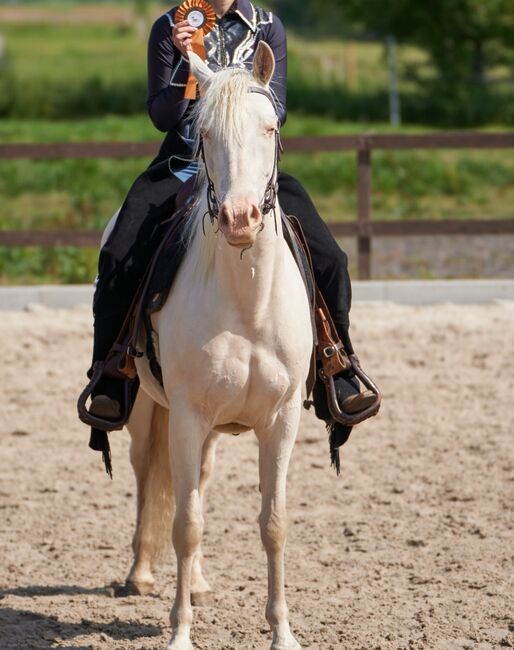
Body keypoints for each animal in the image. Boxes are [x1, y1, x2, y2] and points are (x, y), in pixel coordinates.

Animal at [123, 43, 310, 644]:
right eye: (203, 134)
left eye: (270, 127)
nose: (240, 218)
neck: (246, 303)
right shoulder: (185, 414)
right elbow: (185, 523)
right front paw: (180, 633)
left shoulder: (280, 419)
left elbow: (273, 524)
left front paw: (283, 633)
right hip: (148, 411)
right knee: (148, 475)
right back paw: (139, 575)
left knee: (196, 482)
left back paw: (201, 586)